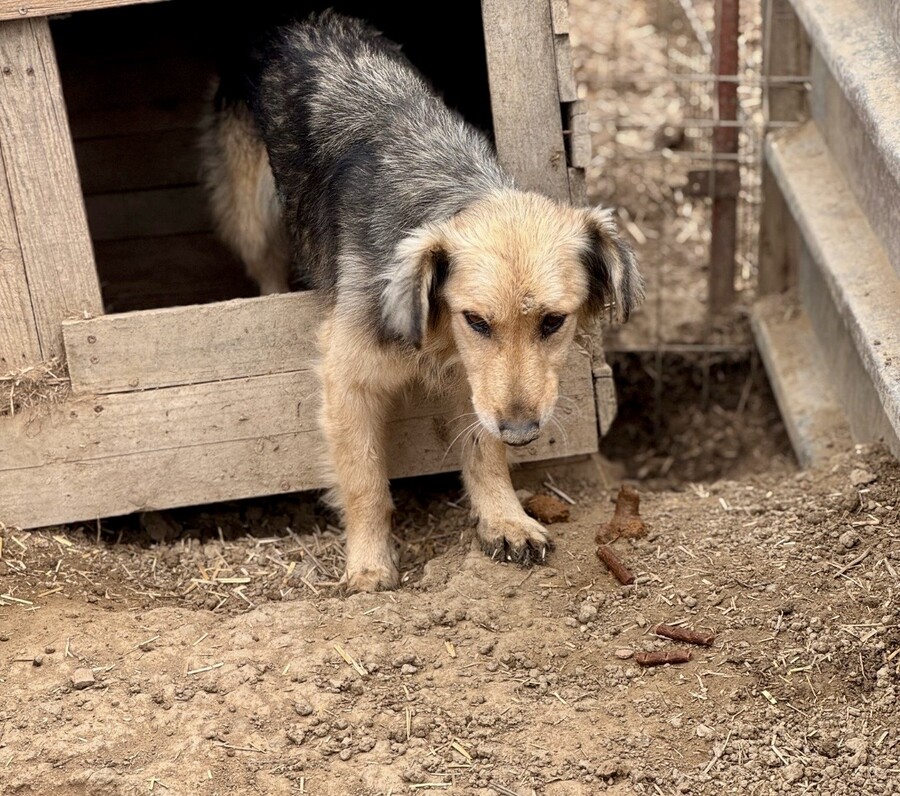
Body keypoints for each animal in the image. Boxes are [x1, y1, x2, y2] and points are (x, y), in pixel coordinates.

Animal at [200, 11, 643, 592]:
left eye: (553, 322)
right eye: (475, 320)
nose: (524, 434)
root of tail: (301, 19)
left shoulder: (476, 383)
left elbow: (484, 450)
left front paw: (505, 518)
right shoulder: (348, 380)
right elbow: (365, 481)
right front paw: (368, 563)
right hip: (252, 209)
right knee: (264, 262)